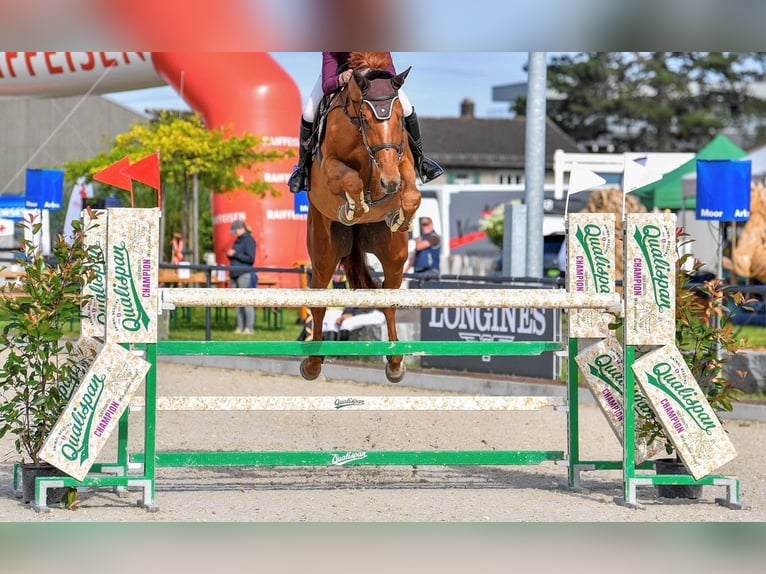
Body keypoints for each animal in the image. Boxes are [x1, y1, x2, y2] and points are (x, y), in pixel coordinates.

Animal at [300, 50, 424, 382]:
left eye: (400, 119)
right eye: (366, 119)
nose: (389, 183)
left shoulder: (403, 162)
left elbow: (412, 194)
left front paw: (401, 218)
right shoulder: (330, 168)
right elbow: (352, 180)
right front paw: (353, 208)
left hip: (394, 256)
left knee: (389, 301)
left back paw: (395, 363)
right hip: (324, 253)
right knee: (319, 301)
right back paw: (312, 364)